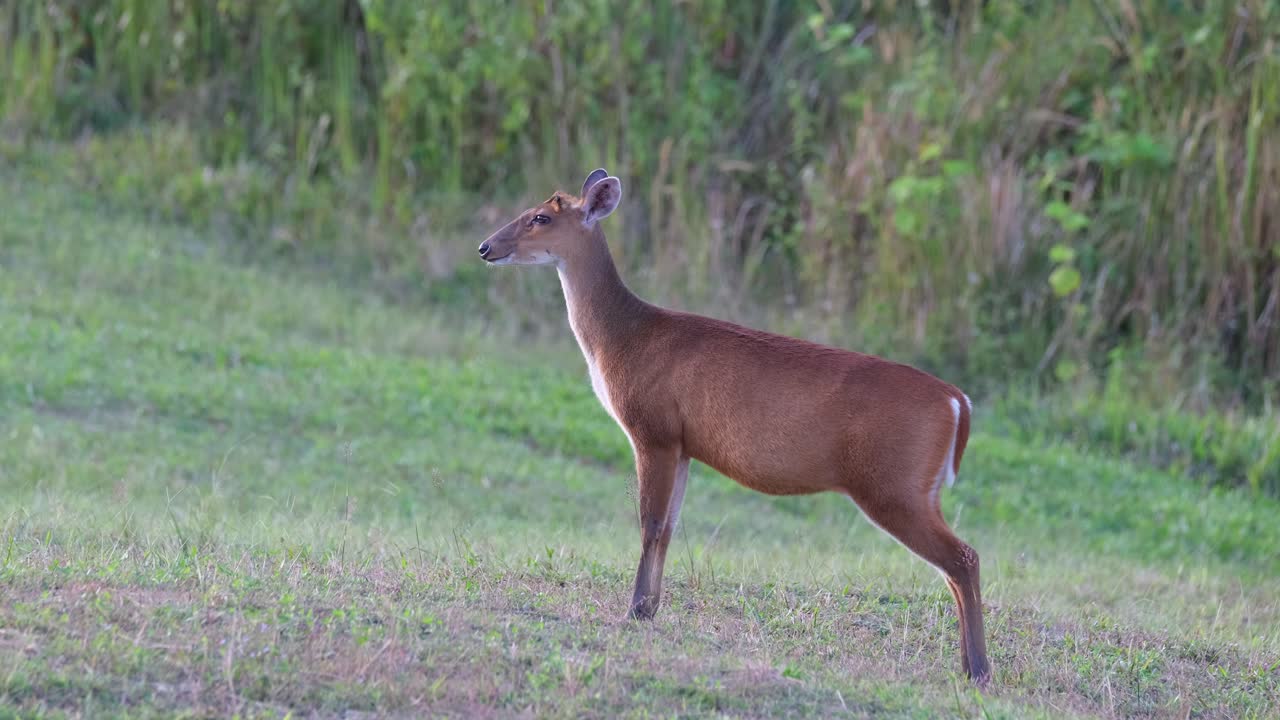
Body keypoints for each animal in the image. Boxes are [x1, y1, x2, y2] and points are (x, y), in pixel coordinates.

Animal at [478, 169, 992, 685]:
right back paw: (969, 665)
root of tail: (957, 401)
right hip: (918, 490)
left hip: (892, 486)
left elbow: (650, 522)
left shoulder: (653, 430)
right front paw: (650, 608)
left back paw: (980, 670)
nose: (485, 247)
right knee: (955, 564)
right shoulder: (682, 444)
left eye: (540, 217)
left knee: (964, 557)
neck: (622, 337)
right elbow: (669, 526)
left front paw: (634, 610)